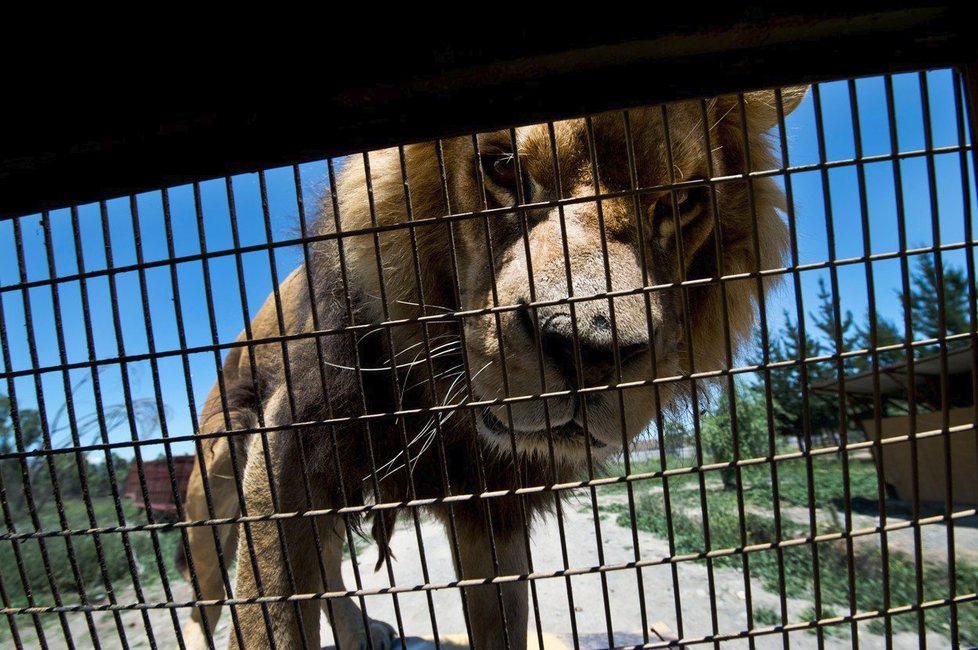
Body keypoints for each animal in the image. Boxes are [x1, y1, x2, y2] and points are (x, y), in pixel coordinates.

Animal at [179, 87, 804, 648]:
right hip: (211, 485)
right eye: (503, 167)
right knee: (206, 596)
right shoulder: (290, 449)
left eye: (682, 202)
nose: (590, 350)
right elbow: (269, 618)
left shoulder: (496, 509)